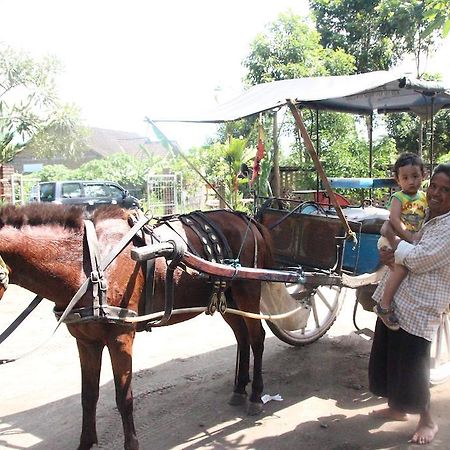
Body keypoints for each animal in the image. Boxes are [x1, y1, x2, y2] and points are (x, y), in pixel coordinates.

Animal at [0, 204, 274, 450]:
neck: (89, 265)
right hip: (227, 298)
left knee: (257, 338)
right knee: (243, 338)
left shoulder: (121, 337)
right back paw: (239, 388)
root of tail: (246, 218)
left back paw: (256, 395)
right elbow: (88, 396)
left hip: (248, 291)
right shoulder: (86, 341)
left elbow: (124, 398)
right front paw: (86, 443)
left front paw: (131, 444)